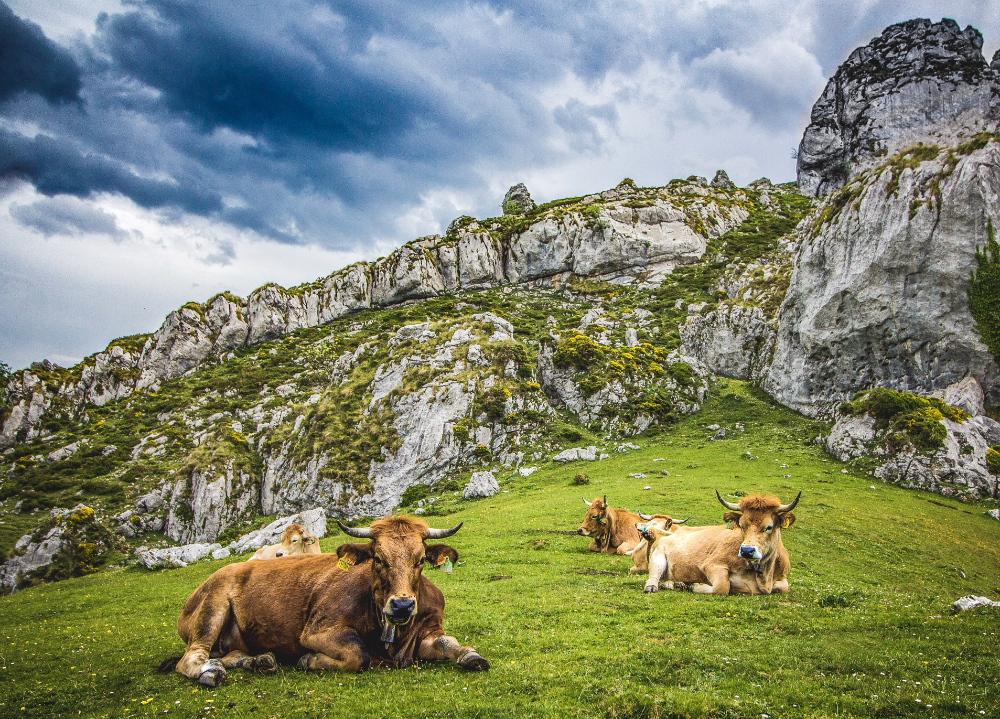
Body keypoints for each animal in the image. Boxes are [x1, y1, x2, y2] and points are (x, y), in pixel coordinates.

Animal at [162, 516, 490, 688]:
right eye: (377, 558)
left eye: (421, 559)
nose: (402, 606)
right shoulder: (318, 630)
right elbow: (358, 654)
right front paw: (309, 660)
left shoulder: (427, 630)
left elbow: (449, 643)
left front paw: (470, 655)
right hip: (212, 607)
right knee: (190, 657)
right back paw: (209, 672)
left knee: (231, 654)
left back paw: (259, 661)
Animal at [644, 490, 800, 596]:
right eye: (741, 525)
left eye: (769, 527)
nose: (747, 550)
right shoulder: (713, 565)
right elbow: (722, 587)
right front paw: (695, 586)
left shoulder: (782, 578)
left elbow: (783, 587)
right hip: (658, 557)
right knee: (653, 577)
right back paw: (656, 586)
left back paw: (677, 584)